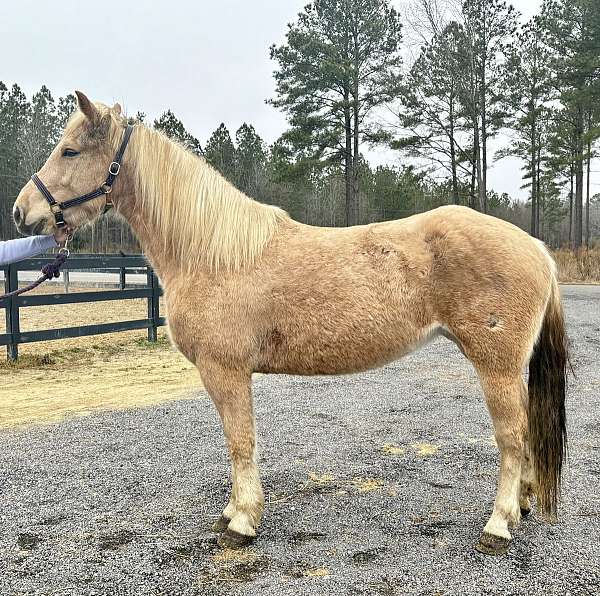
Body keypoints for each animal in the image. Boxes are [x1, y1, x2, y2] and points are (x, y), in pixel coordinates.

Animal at [12, 92, 568, 556]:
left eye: (69, 151)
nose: (21, 212)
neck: (213, 253)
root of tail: (536, 247)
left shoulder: (225, 370)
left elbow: (240, 441)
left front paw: (241, 522)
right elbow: (241, 442)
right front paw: (234, 512)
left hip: (495, 367)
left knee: (512, 435)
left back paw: (498, 525)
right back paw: (520, 506)